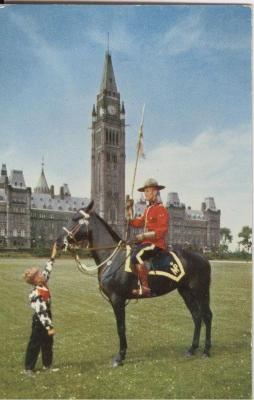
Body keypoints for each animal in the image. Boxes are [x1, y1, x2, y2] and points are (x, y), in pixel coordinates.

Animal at [53, 202, 212, 368]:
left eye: (75, 218)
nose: (58, 242)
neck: (113, 258)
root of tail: (203, 257)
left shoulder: (117, 299)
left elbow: (121, 327)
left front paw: (120, 357)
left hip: (201, 291)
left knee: (207, 316)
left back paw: (206, 350)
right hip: (186, 291)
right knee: (197, 316)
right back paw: (192, 348)